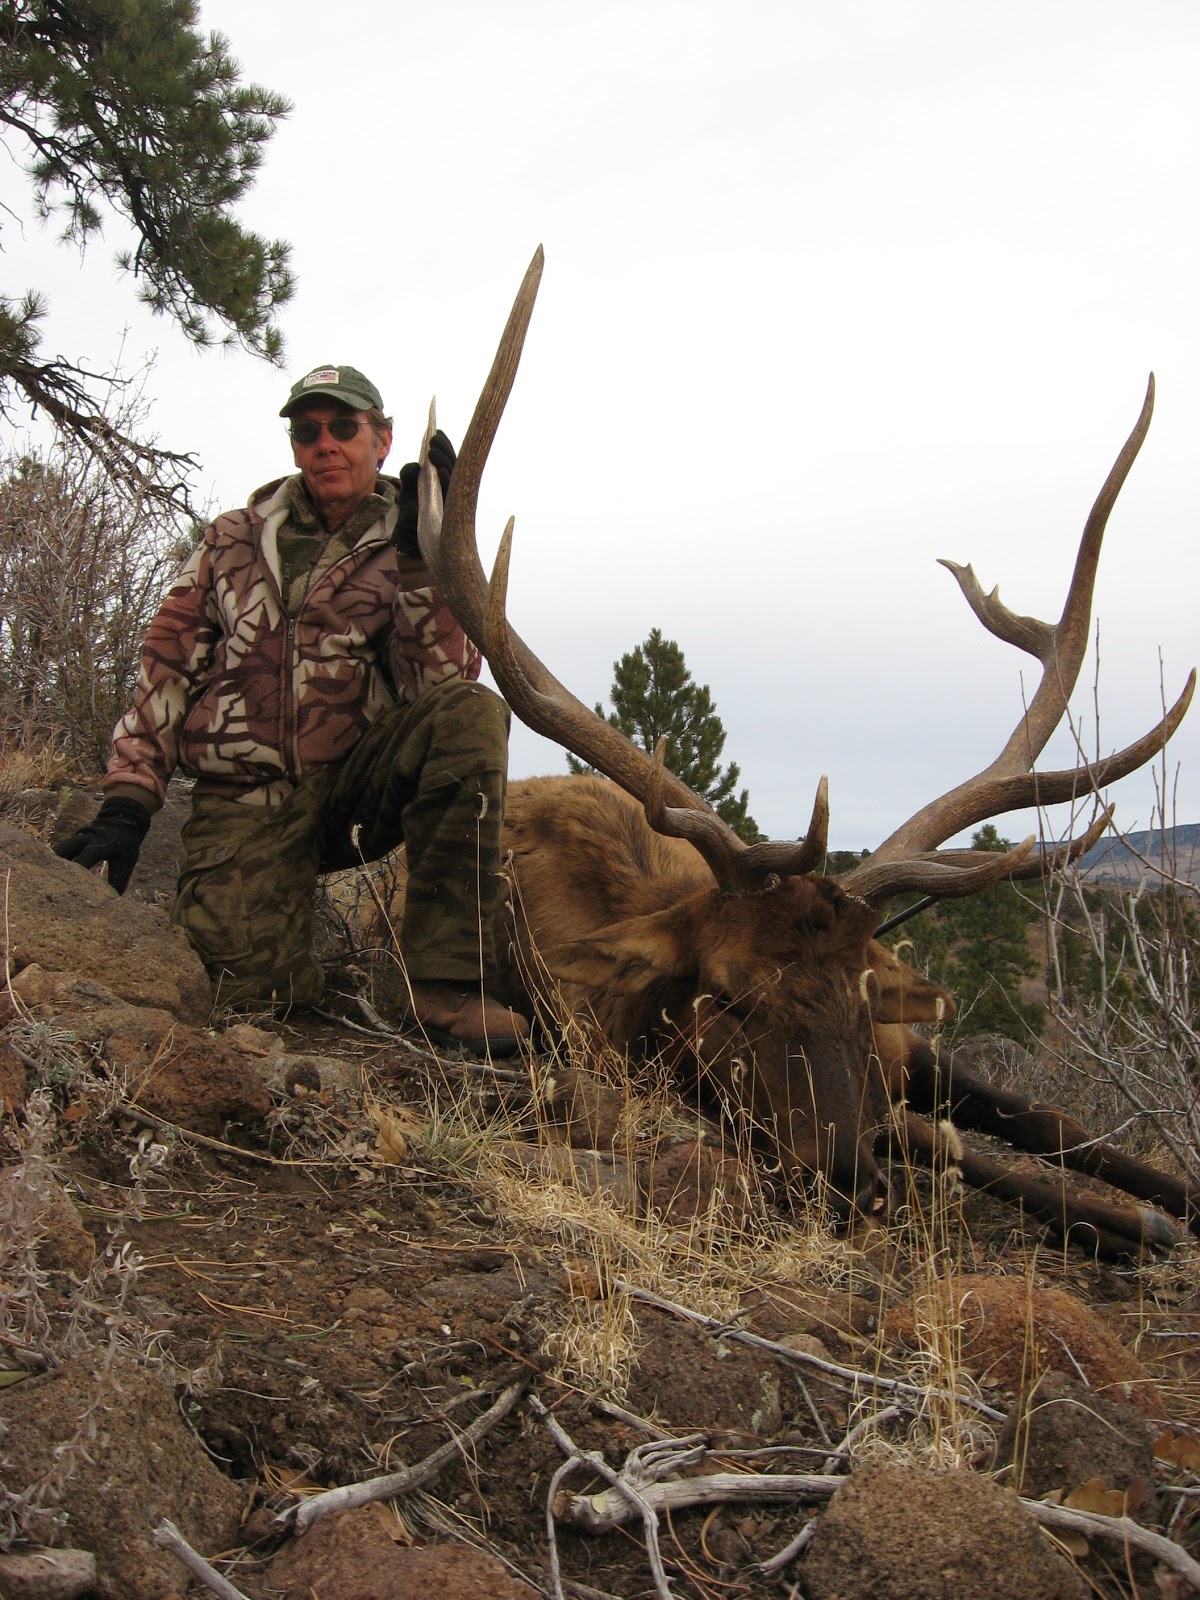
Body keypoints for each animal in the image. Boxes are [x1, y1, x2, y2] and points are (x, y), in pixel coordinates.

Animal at [410, 247, 1197, 1259]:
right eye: (728, 996)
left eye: (859, 991)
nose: (850, 1182)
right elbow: (972, 1154)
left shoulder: (902, 1051)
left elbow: (1039, 1133)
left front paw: (1152, 1212)